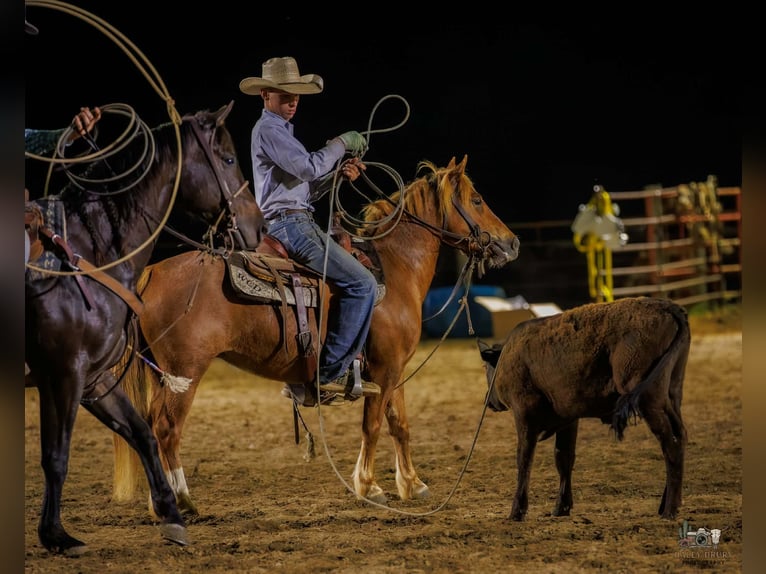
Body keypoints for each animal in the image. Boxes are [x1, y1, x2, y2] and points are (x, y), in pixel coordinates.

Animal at [24, 101, 264, 556]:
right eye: (228, 159)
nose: (258, 227)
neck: (90, 250)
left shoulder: (94, 378)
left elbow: (142, 433)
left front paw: (171, 515)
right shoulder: (62, 374)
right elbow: (55, 456)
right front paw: (55, 535)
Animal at [111, 155, 519, 515]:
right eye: (477, 199)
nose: (512, 242)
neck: (395, 266)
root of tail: (152, 273)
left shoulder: (395, 371)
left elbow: (399, 425)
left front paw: (412, 483)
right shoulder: (384, 370)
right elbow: (372, 425)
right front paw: (368, 485)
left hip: (160, 374)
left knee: (149, 427)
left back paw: (162, 502)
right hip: (186, 372)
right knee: (167, 428)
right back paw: (182, 500)